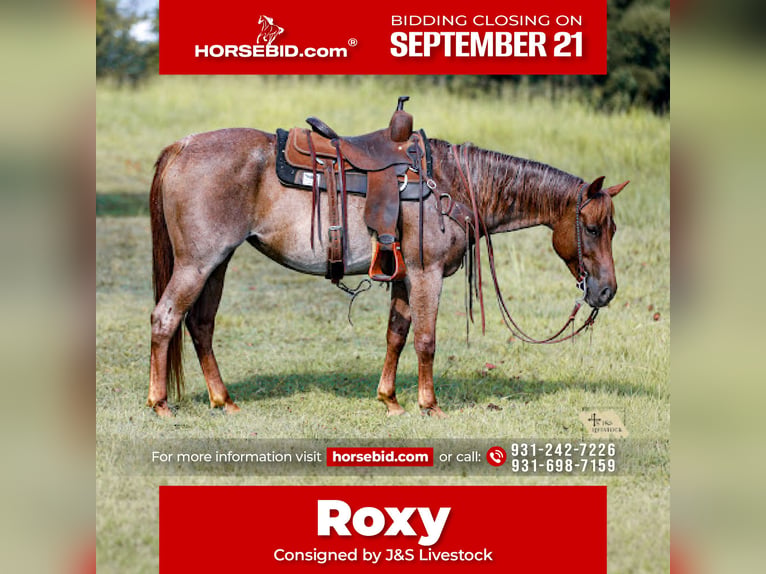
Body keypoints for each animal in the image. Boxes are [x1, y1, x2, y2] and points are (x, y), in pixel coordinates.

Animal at [147, 128, 628, 418]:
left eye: (613, 228)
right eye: (591, 227)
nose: (606, 291)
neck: (451, 185)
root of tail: (182, 147)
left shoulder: (402, 276)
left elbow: (396, 335)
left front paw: (390, 399)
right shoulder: (425, 273)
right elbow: (426, 340)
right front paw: (429, 405)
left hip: (218, 263)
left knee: (201, 325)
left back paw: (223, 399)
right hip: (197, 263)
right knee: (166, 319)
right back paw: (160, 402)